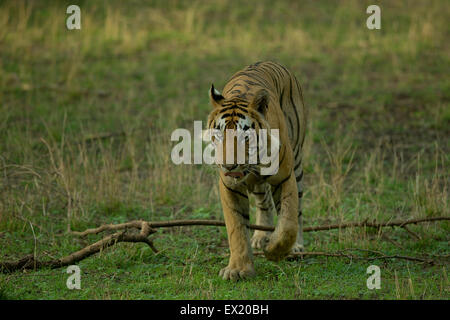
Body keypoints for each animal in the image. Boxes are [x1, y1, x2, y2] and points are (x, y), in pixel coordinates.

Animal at [207, 60, 306, 280]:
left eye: (245, 136)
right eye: (219, 134)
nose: (228, 165)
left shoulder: (285, 177)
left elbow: (288, 221)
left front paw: (275, 251)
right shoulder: (229, 186)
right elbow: (236, 228)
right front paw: (237, 269)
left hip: (297, 161)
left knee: (298, 210)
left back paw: (296, 246)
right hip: (258, 184)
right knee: (264, 202)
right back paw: (261, 236)